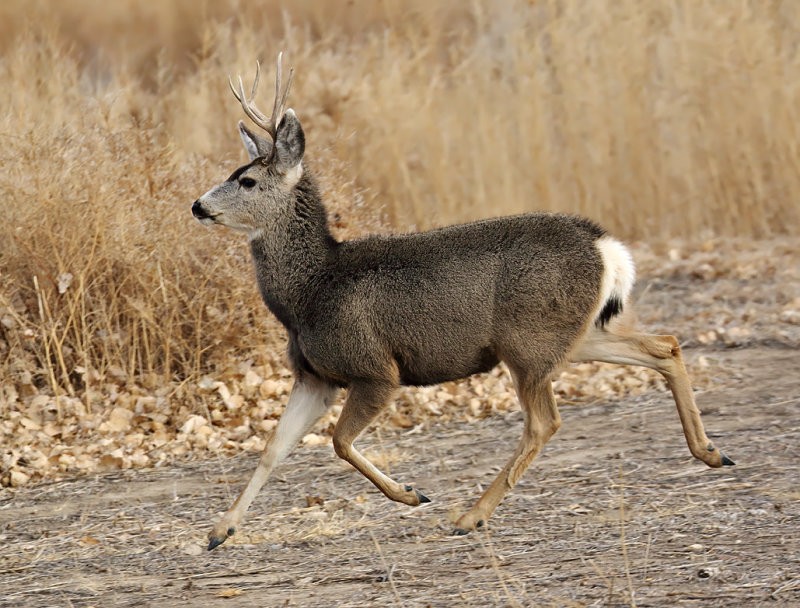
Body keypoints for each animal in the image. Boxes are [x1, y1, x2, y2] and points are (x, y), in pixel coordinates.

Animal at [192, 55, 732, 552]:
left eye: (247, 181)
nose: (198, 205)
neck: (311, 290)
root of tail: (607, 247)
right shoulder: (315, 376)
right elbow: (272, 448)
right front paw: (219, 531)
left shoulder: (375, 368)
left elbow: (339, 442)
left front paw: (411, 494)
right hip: (569, 335)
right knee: (664, 344)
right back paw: (710, 452)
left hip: (529, 341)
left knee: (544, 421)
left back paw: (470, 515)